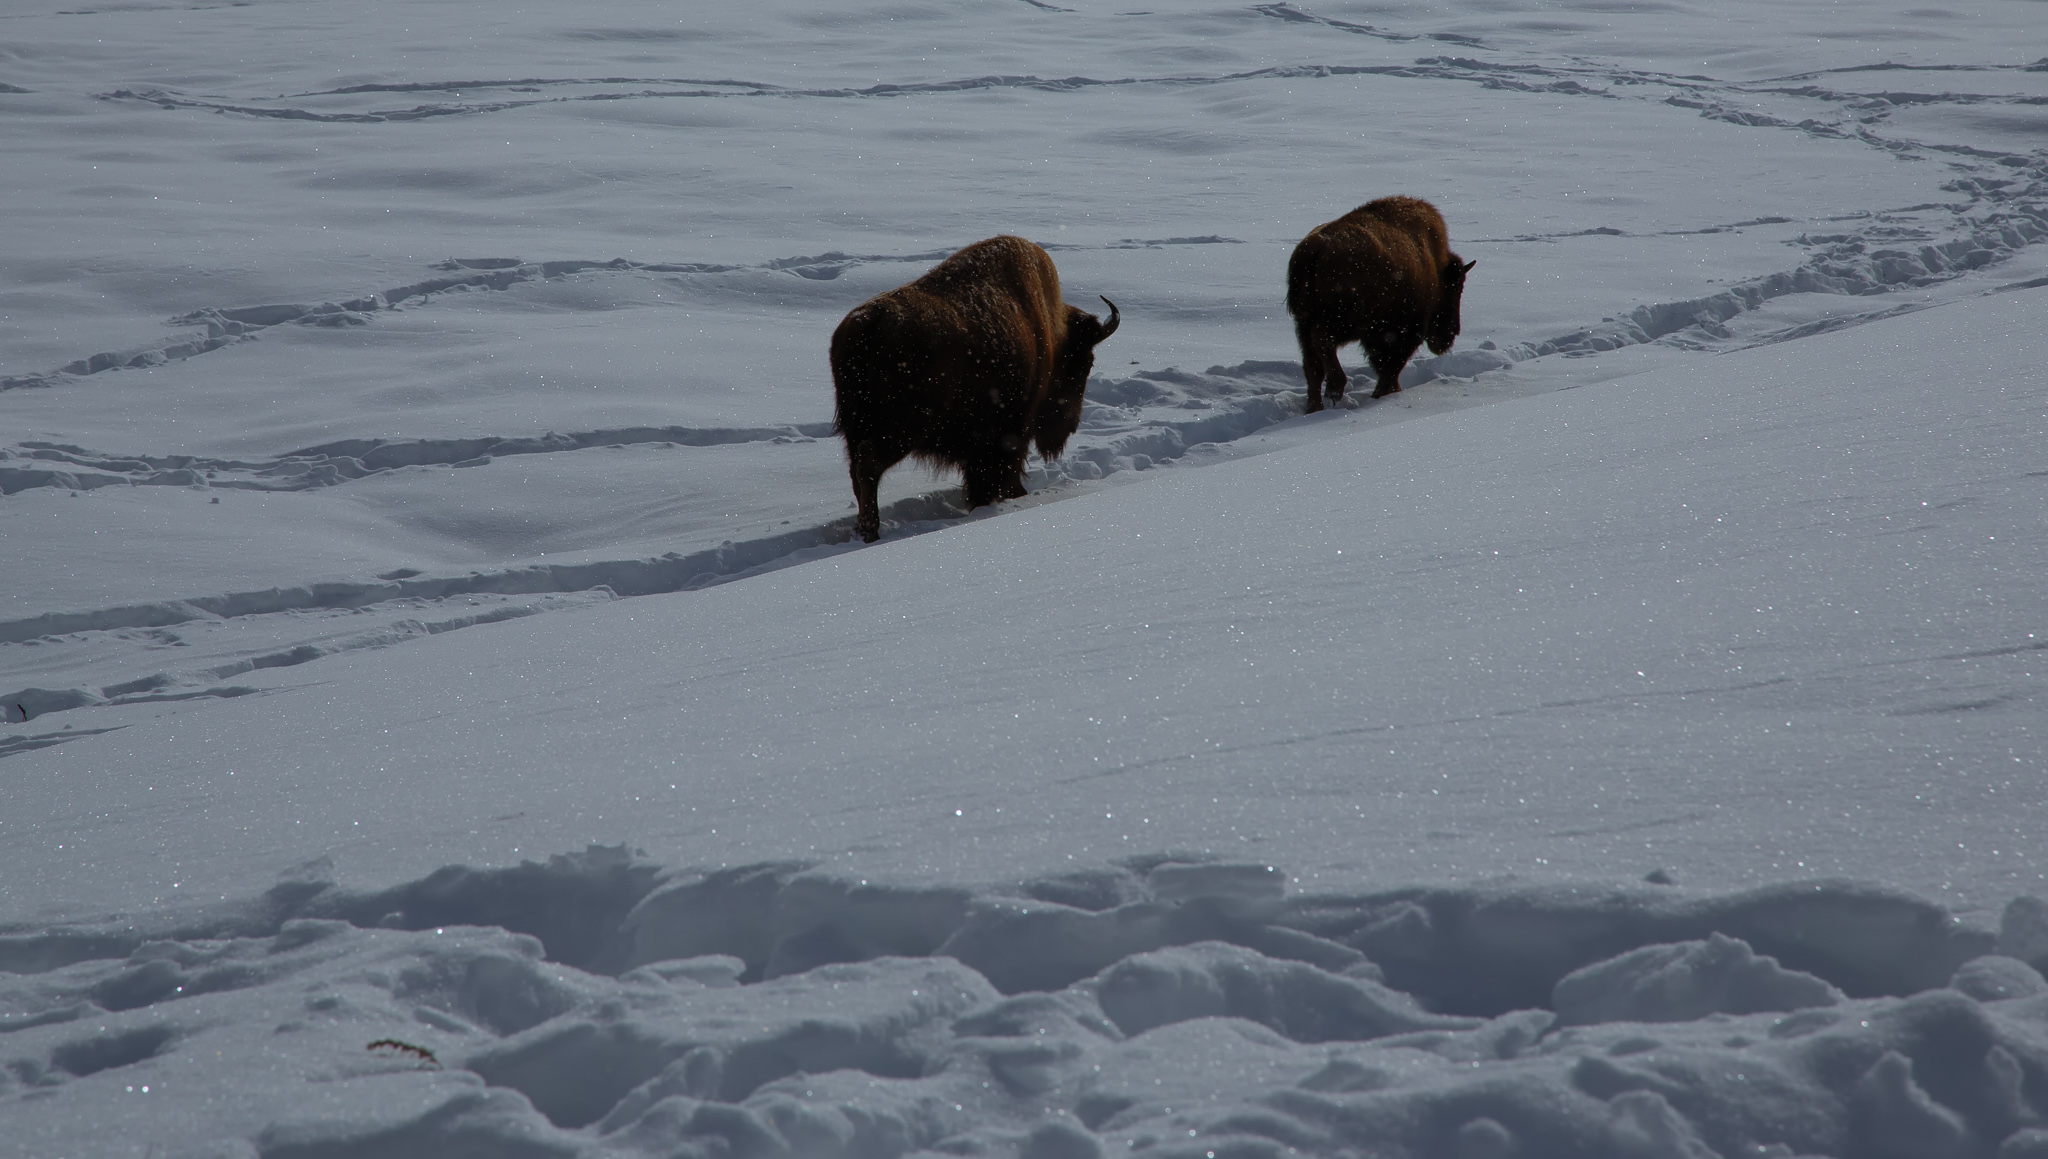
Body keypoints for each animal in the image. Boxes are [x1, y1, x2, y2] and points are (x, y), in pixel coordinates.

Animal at [827, 238, 1122, 548]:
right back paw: (871, 531)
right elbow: (1004, 468)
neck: (1051, 334)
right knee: (869, 467)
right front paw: (1013, 496)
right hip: (901, 430)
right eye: (1085, 364)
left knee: (857, 471)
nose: (1072, 425)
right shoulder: (1013, 428)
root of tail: (865, 322)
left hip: (856, 430)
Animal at [1277, 198, 1474, 413]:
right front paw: (1382, 395)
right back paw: (1335, 389)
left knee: (1312, 365)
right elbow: (1390, 368)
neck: (1434, 265)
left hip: (1304, 322)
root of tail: (1317, 246)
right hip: (1343, 323)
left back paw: (1315, 407)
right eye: (1456, 288)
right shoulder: (1403, 334)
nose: (1452, 333)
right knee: (1322, 342)